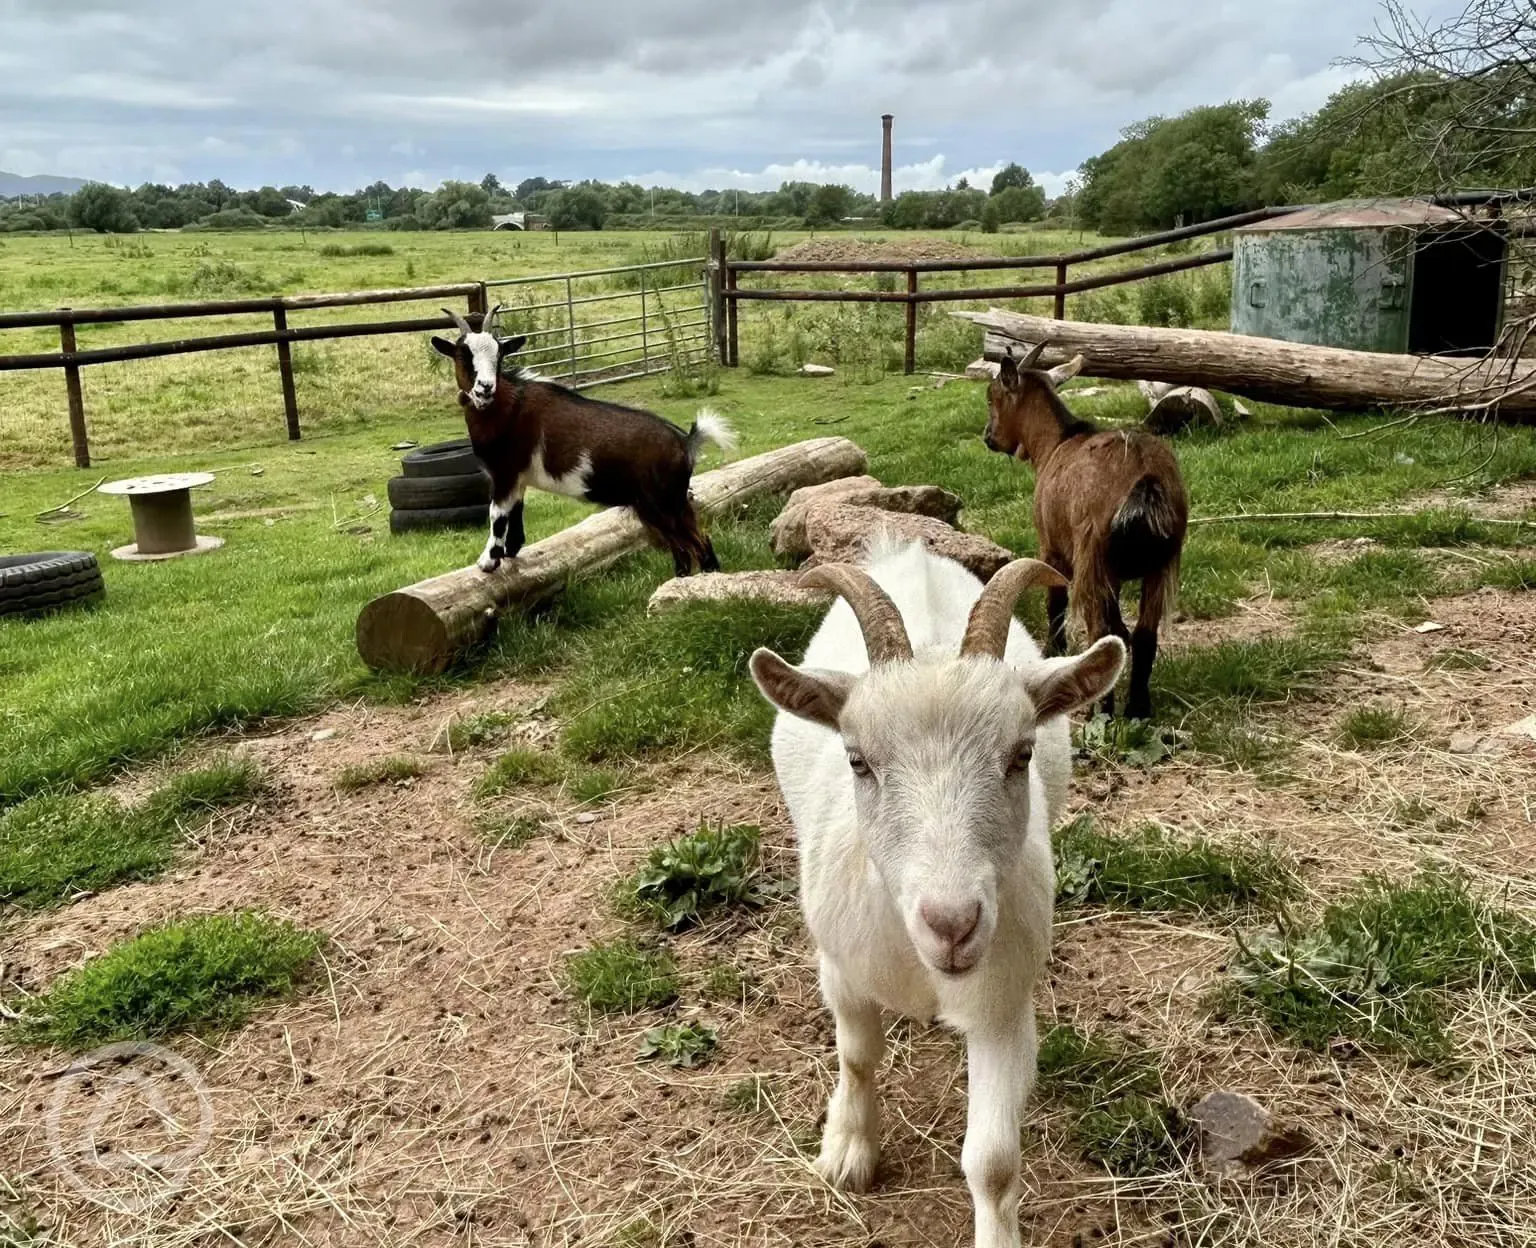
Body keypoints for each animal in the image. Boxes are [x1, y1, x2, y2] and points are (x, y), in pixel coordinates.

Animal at [423, 304, 728, 577]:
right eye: (462, 355)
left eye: (498, 356)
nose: (485, 388)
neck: (507, 407)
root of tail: (685, 442)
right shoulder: (517, 477)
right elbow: (516, 512)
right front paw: (510, 551)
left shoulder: (503, 474)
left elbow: (497, 515)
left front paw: (487, 562)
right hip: (665, 506)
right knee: (690, 548)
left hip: (663, 504)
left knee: (698, 545)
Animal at [749, 537, 1124, 1248]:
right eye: (858, 760)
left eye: (1020, 754)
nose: (951, 924)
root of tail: (911, 551)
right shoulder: (841, 967)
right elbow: (857, 1055)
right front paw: (848, 1150)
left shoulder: (1002, 1004)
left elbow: (994, 1162)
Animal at [983, 344, 1185, 722]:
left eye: (992, 397)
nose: (988, 437)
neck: (1055, 444)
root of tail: (1144, 477)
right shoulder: (1116, 575)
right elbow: (1122, 626)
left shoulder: (1053, 548)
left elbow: (1055, 601)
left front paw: (1052, 651)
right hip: (1160, 562)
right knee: (1144, 634)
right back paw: (1138, 709)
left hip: (1092, 556)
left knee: (1099, 631)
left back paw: (1102, 713)